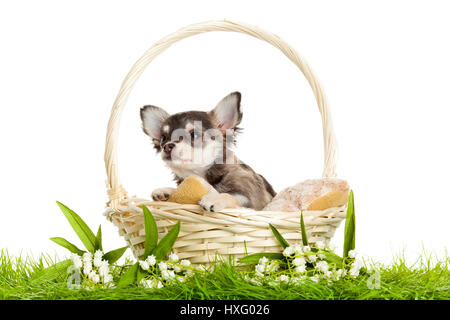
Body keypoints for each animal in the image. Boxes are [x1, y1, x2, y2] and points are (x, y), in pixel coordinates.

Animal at [140, 92, 274, 212]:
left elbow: (230, 195)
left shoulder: (253, 201)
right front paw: (167, 191)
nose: (167, 146)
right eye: (163, 138)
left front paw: (216, 198)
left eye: (194, 134)